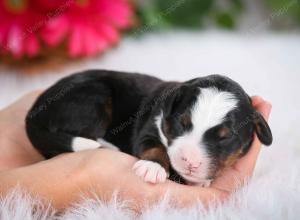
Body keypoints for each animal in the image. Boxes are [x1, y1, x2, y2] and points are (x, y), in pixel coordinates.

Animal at [25, 69, 272, 186]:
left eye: (225, 137)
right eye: (181, 124)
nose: (189, 162)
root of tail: (32, 113)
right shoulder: (148, 128)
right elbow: (153, 146)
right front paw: (153, 167)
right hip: (94, 97)